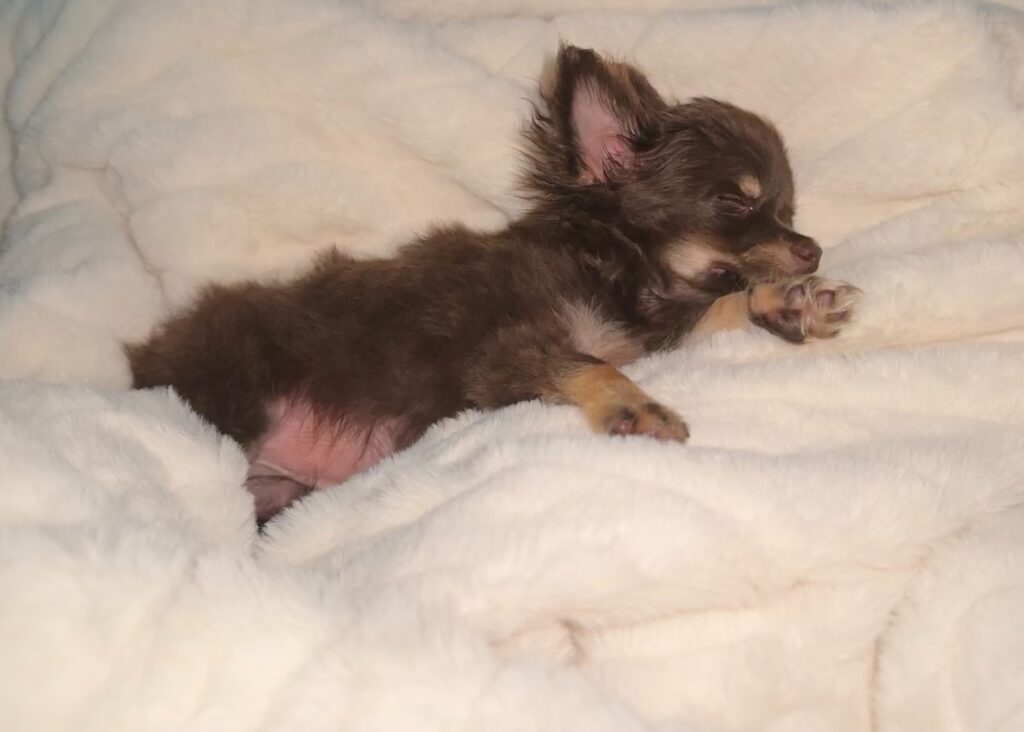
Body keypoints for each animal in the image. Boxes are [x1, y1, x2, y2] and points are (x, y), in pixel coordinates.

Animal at [130, 44, 864, 522]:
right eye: (733, 203)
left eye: (787, 211)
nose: (811, 249)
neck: (616, 266)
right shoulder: (506, 351)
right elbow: (593, 364)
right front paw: (638, 408)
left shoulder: (650, 332)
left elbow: (715, 309)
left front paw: (790, 303)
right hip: (234, 399)